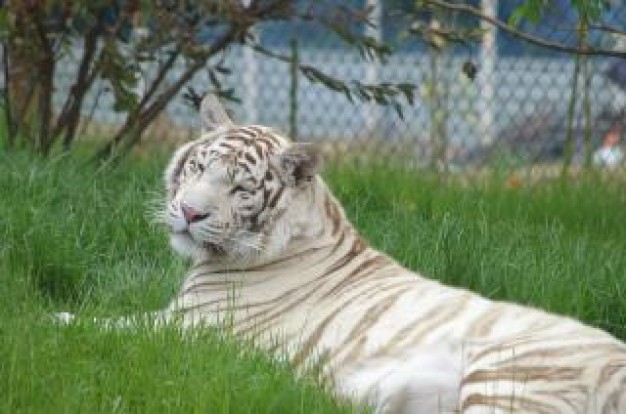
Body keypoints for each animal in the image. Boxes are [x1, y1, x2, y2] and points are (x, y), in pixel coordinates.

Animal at [59, 95, 624, 412]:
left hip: (509, 379)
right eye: (198, 167)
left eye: (240, 188)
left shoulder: (185, 328)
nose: (190, 212)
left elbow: (98, 323)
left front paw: (49, 318)